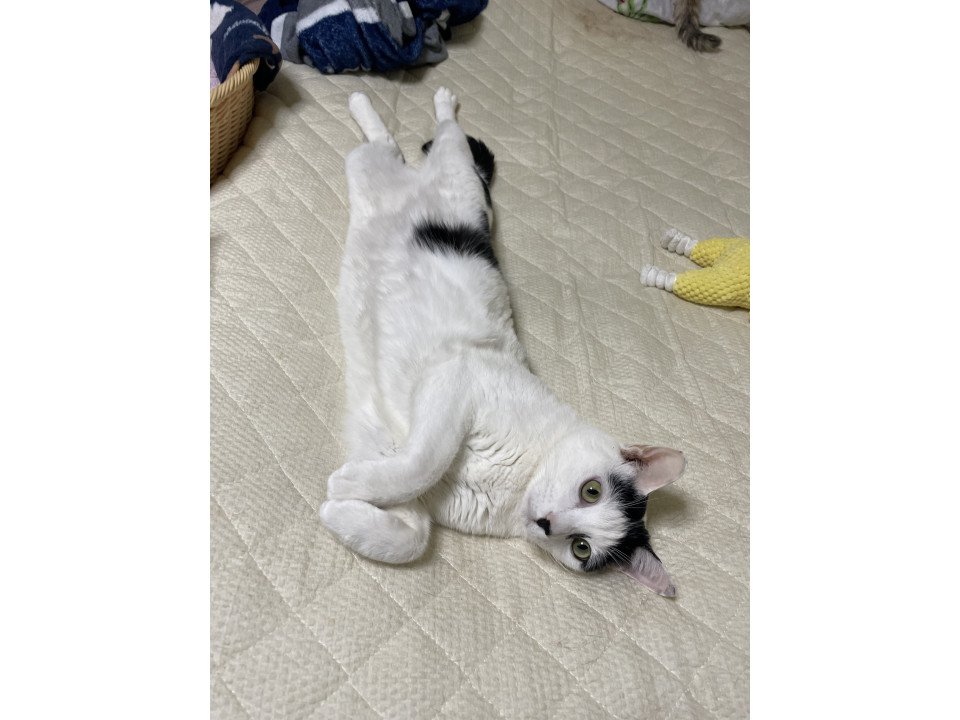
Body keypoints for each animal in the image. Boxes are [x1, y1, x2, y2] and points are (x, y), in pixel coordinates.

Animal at [318, 88, 686, 596]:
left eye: (581, 548)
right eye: (591, 490)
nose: (549, 523)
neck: (515, 484)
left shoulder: (399, 467)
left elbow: (412, 536)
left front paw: (340, 507)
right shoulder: (458, 376)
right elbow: (423, 463)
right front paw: (345, 489)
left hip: (371, 177)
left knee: (385, 150)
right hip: (450, 175)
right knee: (426, 141)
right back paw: (418, 101)